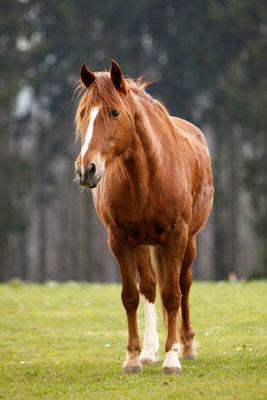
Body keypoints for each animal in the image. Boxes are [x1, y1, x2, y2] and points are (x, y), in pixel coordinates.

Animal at [74, 60, 215, 376]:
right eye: (83, 114)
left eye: (114, 112)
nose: (86, 169)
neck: (148, 176)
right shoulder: (120, 239)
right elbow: (131, 295)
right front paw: (133, 358)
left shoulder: (176, 234)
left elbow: (173, 294)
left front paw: (172, 360)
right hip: (144, 244)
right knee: (150, 287)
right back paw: (150, 351)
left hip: (189, 241)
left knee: (184, 284)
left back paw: (186, 347)